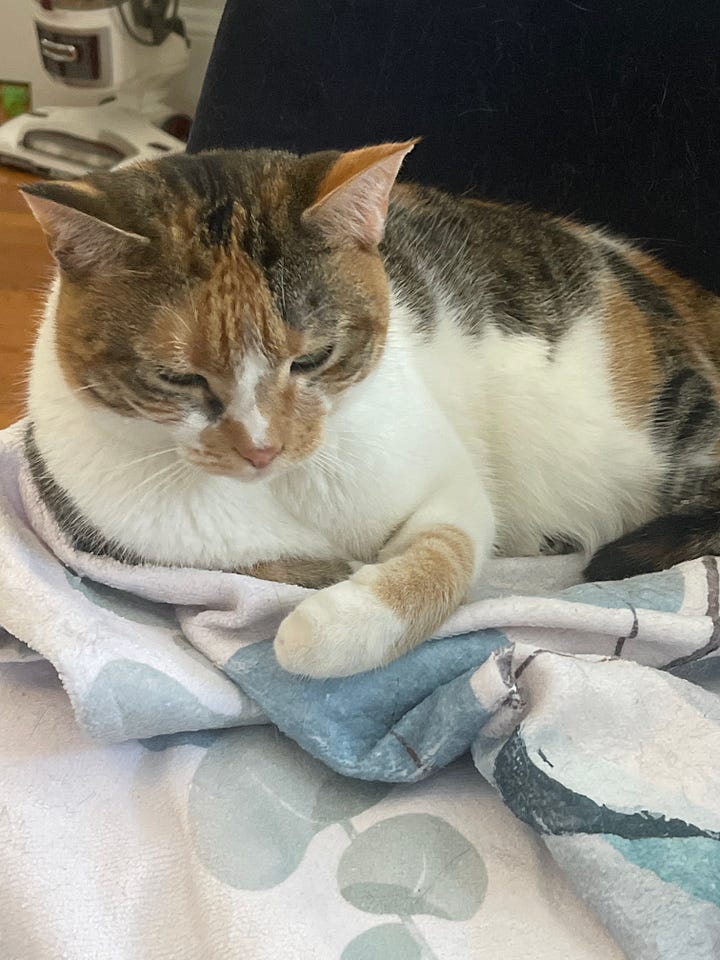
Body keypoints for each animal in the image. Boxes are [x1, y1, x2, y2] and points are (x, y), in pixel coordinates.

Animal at [19, 141, 720, 676]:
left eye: (313, 358)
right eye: (179, 378)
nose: (262, 448)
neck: (288, 487)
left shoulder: (448, 484)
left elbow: (444, 555)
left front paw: (324, 630)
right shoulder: (157, 546)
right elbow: (267, 568)